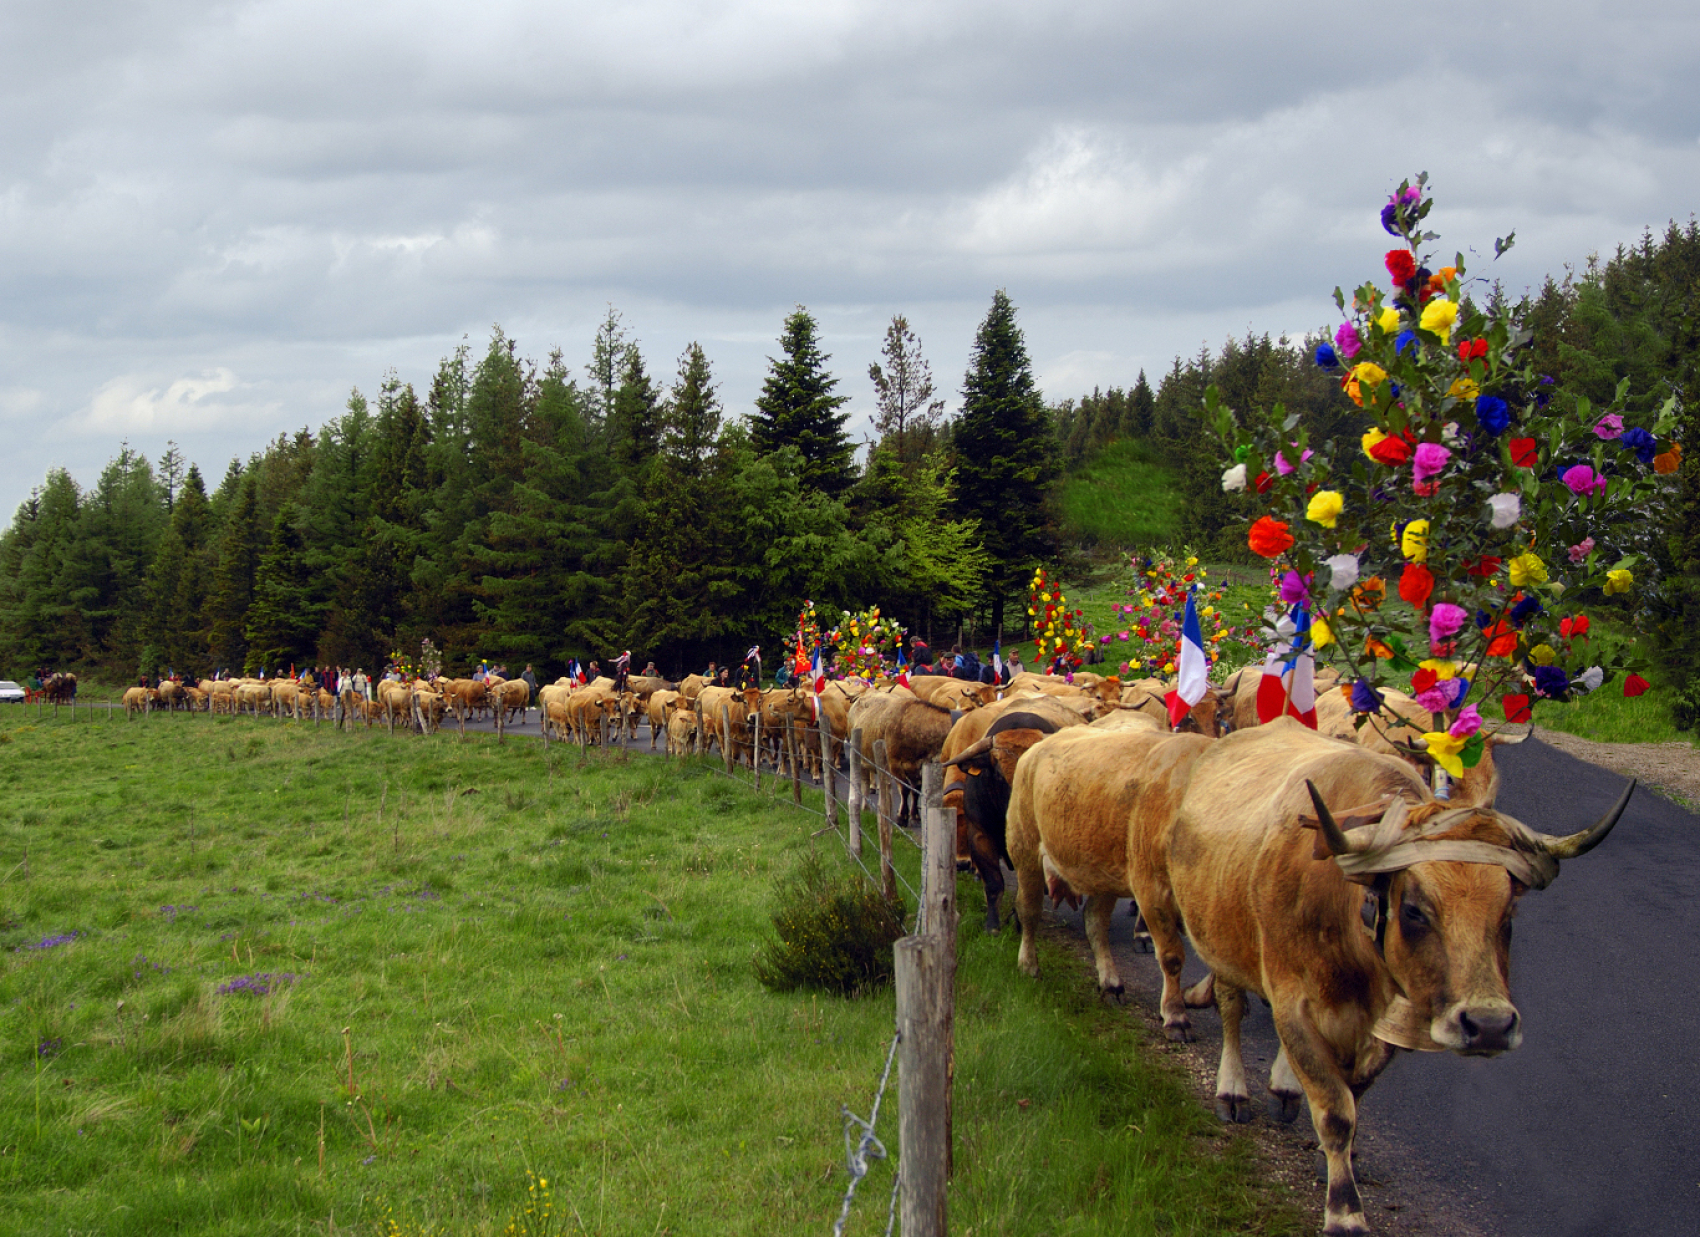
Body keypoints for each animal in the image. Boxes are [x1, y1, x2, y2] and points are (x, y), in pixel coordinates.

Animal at [1156, 720, 1632, 1230]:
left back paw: (1283, 1088)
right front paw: (1345, 1211)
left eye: (1508, 912)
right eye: (1414, 910)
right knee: (1231, 1010)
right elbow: (1335, 1110)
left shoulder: (1389, 1023)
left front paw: (1337, 1158)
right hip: (1221, 945)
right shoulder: (1290, 1001)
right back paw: (1233, 1090)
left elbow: (1351, 1096)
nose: (1488, 1026)